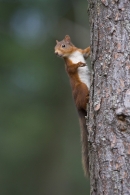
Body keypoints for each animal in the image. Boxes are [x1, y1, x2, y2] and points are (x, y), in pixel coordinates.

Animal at [54, 35, 90, 177]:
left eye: (63, 45)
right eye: (54, 47)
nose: (56, 53)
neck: (71, 54)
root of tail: (77, 106)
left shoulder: (81, 52)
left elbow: (86, 52)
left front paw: (90, 47)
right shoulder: (68, 66)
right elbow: (72, 69)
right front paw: (79, 64)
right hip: (81, 88)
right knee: (83, 102)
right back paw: (88, 99)